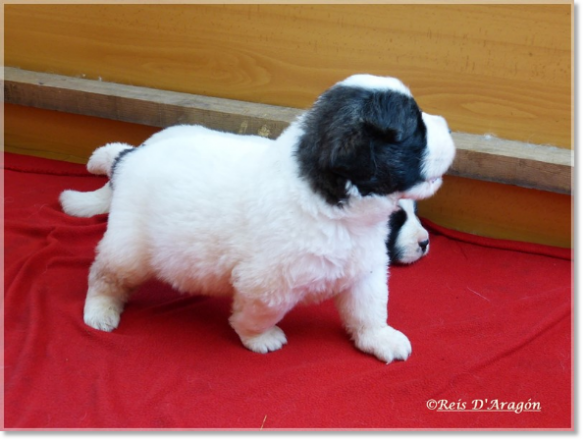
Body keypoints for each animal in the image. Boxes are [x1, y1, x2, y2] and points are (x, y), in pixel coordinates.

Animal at [60, 73, 456, 362]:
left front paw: (378, 338)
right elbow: (256, 314)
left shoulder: (365, 270)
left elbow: (369, 309)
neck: (329, 201)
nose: (450, 127)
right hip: (129, 248)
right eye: (416, 128)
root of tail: (132, 155)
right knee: (105, 275)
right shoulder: (266, 286)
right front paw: (258, 337)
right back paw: (101, 310)